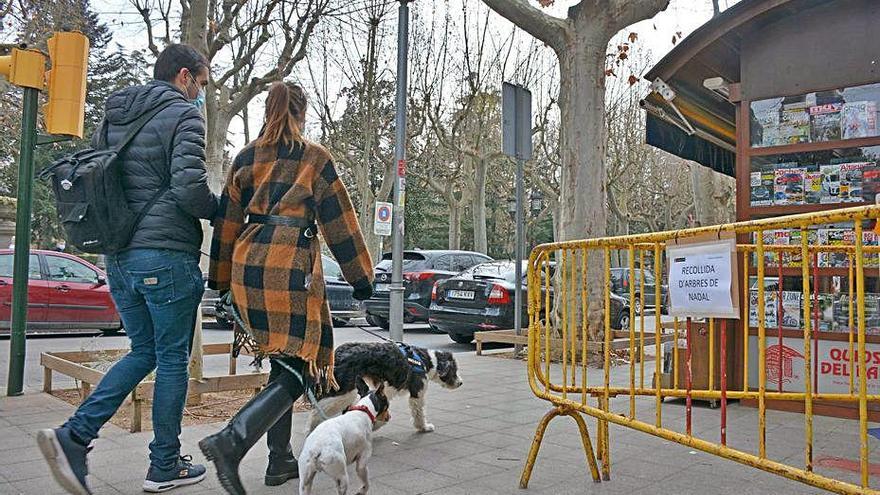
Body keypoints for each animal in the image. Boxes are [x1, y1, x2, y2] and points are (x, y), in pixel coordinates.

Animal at [310, 340, 464, 434]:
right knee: (316, 412)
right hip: (344, 391)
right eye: (454, 370)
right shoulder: (417, 393)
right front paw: (424, 427)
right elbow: (419, 413)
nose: (460, 383)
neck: (427, 360)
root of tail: (337, 353)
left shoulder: (384, 390)